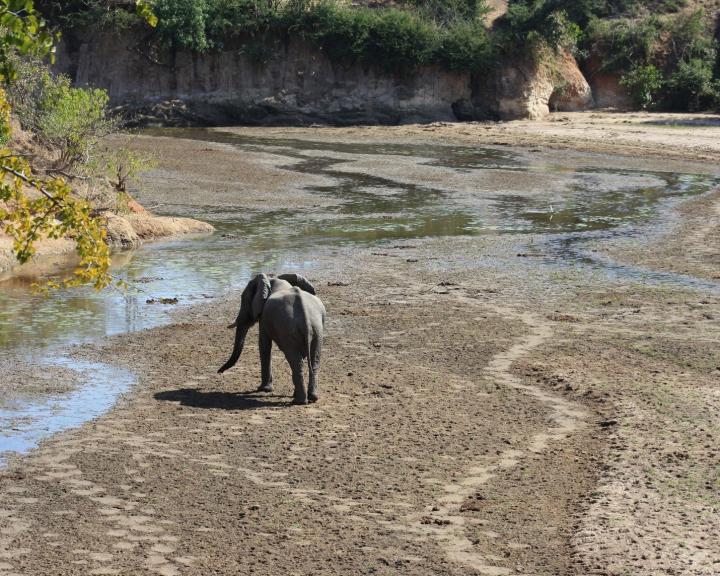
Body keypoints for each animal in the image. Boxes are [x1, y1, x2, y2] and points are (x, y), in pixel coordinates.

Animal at [215, 274, 324, 404]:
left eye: (243, 299)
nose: (219, 372)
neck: (273, 280)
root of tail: (305, 317)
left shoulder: (263, 318)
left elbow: (264, 345)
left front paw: (263, 389)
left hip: (289, 331)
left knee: (295, 361)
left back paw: (298, 401)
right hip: (317, 329)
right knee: (314, 360)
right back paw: (312, 397)